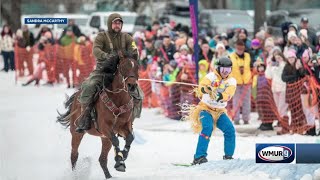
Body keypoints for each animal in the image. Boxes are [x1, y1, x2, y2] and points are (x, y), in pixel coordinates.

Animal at [57, 51, 139, 179]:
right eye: (123, 67)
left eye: (137, 67)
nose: (132, 85)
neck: (118, 99)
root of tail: (77, 96)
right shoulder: (104, 127)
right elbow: (116, 140)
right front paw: (119, 160)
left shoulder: (124, 126)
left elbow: (130, 138)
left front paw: (122, 158)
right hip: (76, 133)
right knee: (74, 155)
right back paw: (75, 174)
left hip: (105, 139)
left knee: (102, 159)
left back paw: (109, 175)